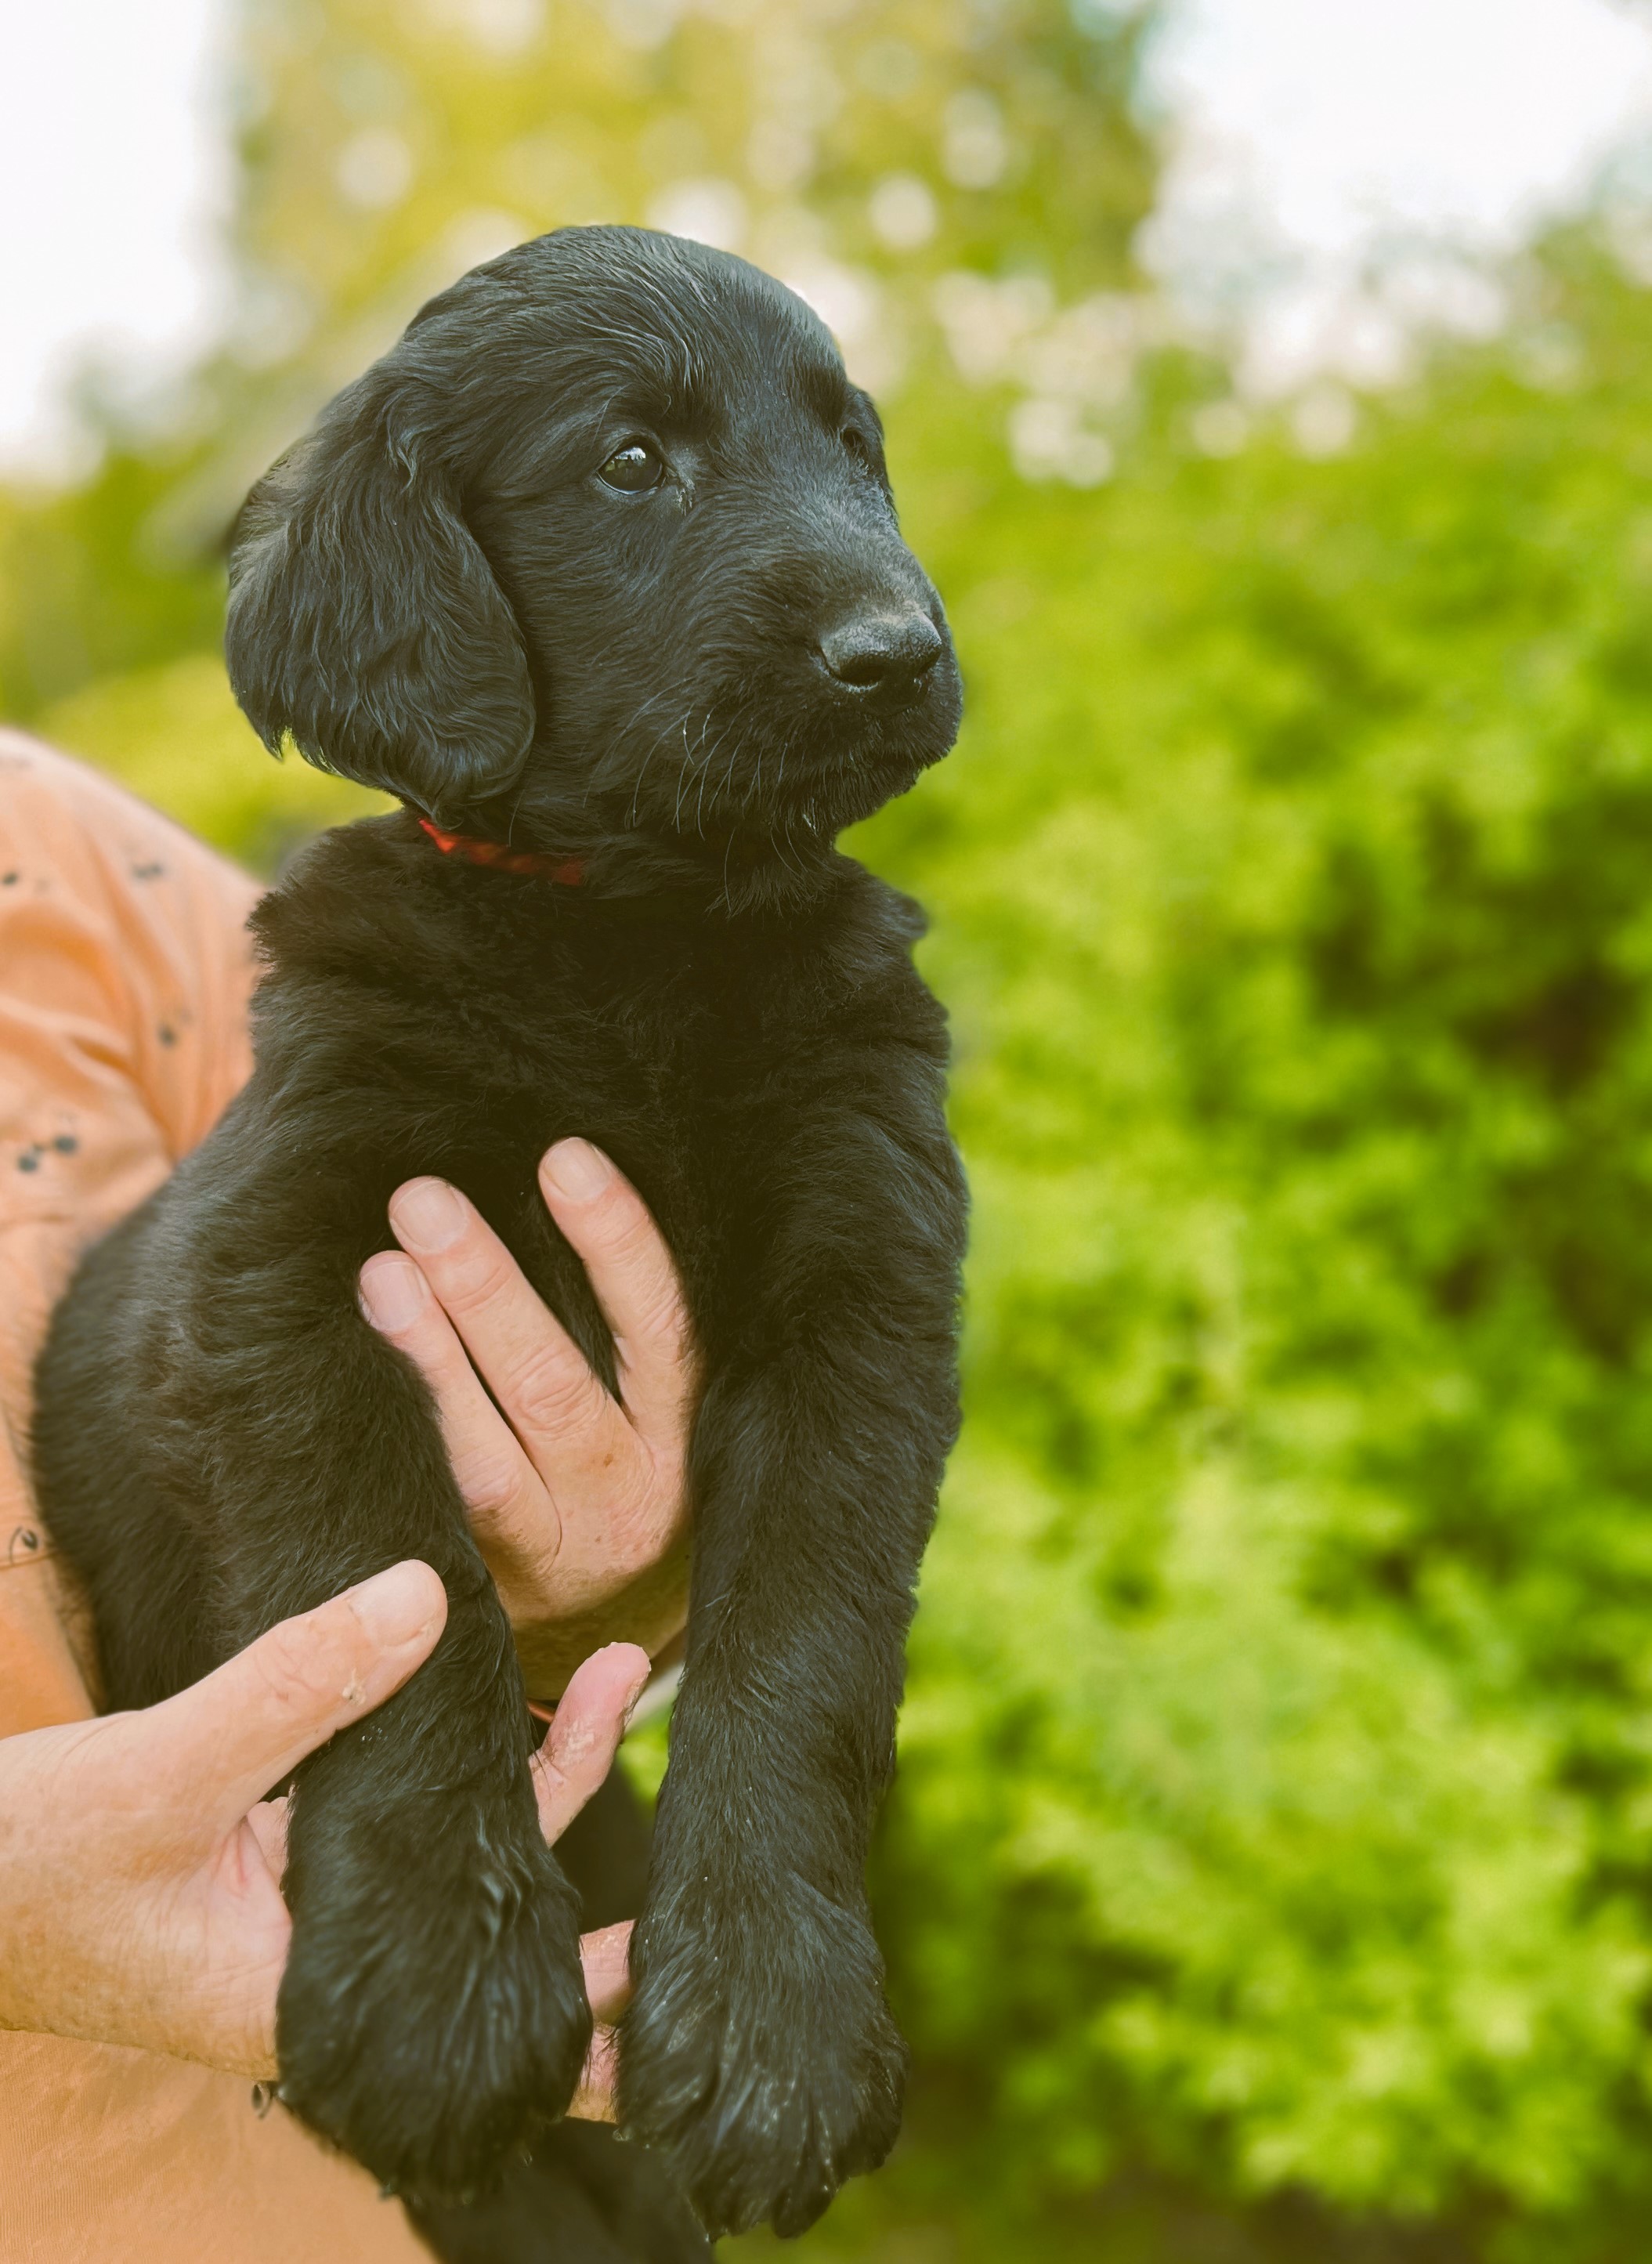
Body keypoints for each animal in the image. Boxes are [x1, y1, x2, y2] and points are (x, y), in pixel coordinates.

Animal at [29, 220, 963, 2237]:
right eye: (630, 460)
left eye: (851, 444)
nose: (900, 653)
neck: (632, 924)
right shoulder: (301, 1267)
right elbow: (400, 1594)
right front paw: (438, 1988)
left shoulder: (866, 1297)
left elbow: (803, 1651)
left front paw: (773, 2021)